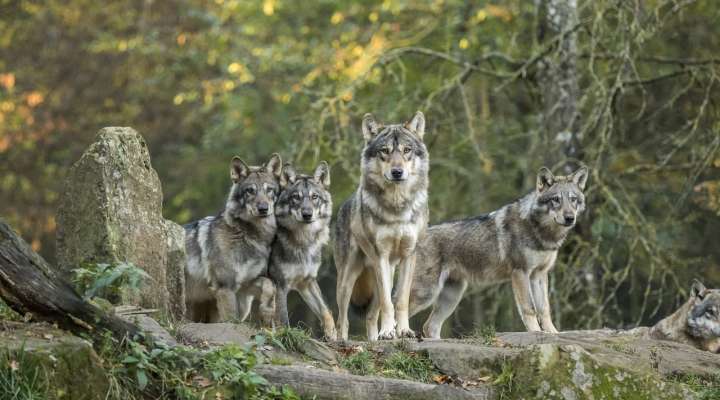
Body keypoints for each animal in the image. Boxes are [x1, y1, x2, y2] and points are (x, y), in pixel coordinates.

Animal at [184, 155, 282, 324]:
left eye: (269, 190)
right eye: (250, 191)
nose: (263, 209)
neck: (250, 235)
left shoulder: (246, 285)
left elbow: (270, 285)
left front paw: (267, 312)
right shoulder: (226, 287)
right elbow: (231, 319)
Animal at [268, 161, 336, 340]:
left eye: (314, 197)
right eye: (296, 197)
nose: (307, 214)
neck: (303, 242)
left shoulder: (307, 282)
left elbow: (326, 310)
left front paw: (332, 334)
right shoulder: (280, 285)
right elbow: (283, 319)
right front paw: (284, 337)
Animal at [336, 110, 430, 340]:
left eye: (406, 150)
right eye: (384, 151)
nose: (397, 172)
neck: (397, 208)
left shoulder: (409, 255)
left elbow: (401, 300)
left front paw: (403, 330)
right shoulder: (381, 255)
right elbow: (389, 304)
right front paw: (388, 331)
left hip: (386, 273)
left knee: (370, 316)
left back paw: (374, 339)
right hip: (349, 279)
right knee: (342, 319)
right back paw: (342, 340)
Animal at [408, 166, 588, 338]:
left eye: (573, 199)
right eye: (556, 199)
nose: (570, 218)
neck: (542, 233)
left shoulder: (539, 274)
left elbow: (544, 309)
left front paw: (554, 333)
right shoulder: (521, 272)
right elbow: (529, 308)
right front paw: (536, 333)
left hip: (452, 296)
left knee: (429, 326)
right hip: (427, 293)